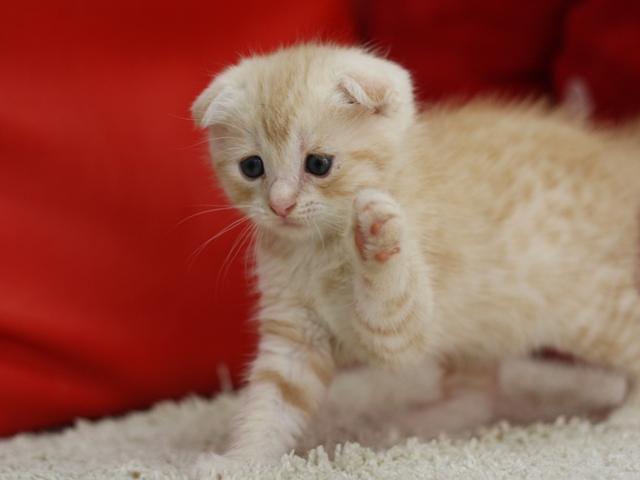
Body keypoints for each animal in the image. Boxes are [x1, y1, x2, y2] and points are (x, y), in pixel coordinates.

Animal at [190, 44, 640, 476]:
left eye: (318, 164)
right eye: (252, 167)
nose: (279, 205)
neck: (315, 250)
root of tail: (617, 157)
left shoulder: (408, 326)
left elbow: (390, 300)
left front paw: (378, 231)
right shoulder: (296, 335)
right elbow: (272, 403)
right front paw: (240, 462)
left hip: (591, 310)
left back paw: (628, 417)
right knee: (477, 395)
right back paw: (427, 422)